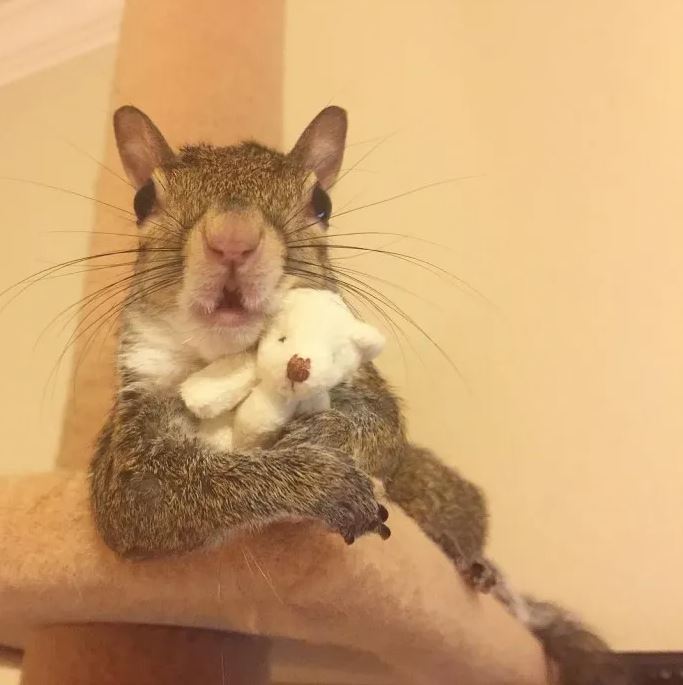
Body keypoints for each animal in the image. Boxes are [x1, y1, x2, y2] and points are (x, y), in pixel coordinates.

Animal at [89, 104, 632, 680]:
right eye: (144, 198)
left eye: (321, 203)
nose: (233, 238)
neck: (224, 359)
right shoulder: (125, 457)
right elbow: (158, 494)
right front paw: (320, 481)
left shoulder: (369, 392)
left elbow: (378, 427)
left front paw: (317, 430)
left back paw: (483, 572)